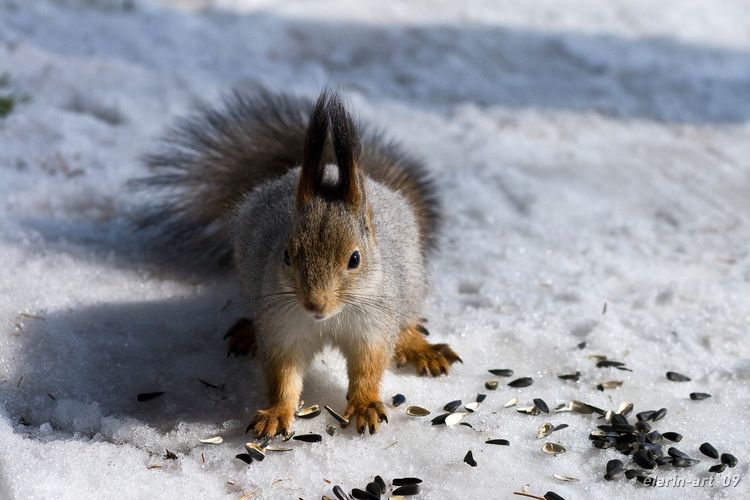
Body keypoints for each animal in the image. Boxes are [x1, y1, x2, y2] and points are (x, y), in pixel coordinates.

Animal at [138, 89, 462, 438]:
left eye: (355, 259)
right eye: (286, 255)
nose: (315, 304)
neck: (328, 320)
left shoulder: (372, 325)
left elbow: (369, 367)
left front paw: (365, 404)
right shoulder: (282, 328)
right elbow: (283, 376)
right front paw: (276, 413)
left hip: (411, 283)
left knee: (405, 323)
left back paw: (421, 348)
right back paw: (247, 331)